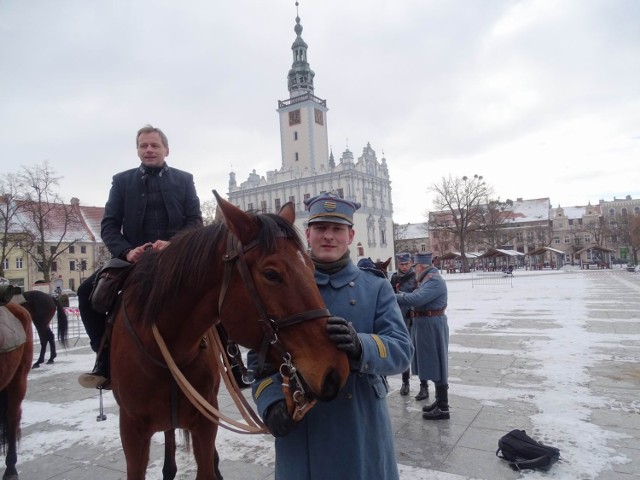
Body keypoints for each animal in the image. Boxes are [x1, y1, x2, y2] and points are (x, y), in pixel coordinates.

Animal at [111, 193, 350, 478]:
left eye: (311, 266)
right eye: (271, 274)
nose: (335, 371)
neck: (167, 348)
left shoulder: (205, 425)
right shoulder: (132, 432)